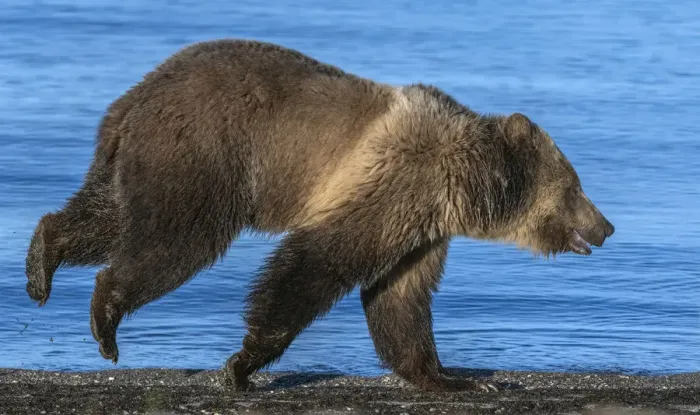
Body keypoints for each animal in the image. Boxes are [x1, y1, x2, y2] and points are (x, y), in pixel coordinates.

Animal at [25, 39, 615, 393]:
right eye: (576, 187)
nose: (607, 226)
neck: (465, 183)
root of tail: (129, 101)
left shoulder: (423, 224)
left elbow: (400, 297)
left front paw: (453, 377)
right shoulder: (398, 177)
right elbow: (316, 263)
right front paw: (243, 366)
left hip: (141, 161)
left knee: (110, 217)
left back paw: (41, 261)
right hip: (204, 153)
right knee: (174, 241)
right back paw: (106, 316)